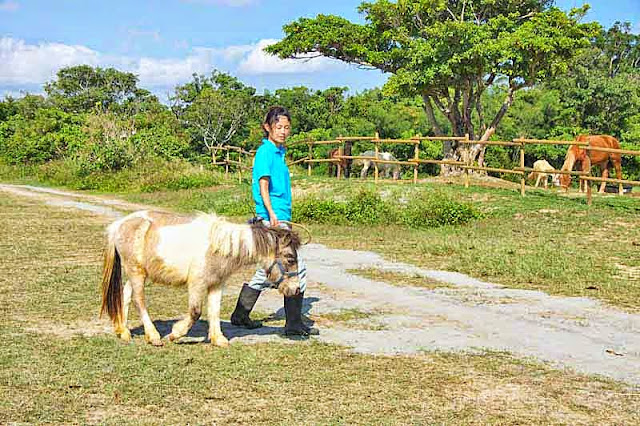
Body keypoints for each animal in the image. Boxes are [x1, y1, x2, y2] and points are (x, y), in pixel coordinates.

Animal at [100, 211, 300, 348]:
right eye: (290, 259)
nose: (296, 289)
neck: (220, 246)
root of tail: (118, 225)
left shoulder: (216, 284)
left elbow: (215, 311)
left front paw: (218, 339)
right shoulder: (197, 283)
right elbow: (196, 312)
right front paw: (175, 334)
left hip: (137, 272)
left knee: (126, 296)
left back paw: (124, 332)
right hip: (136, 272)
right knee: (138, 300)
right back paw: (153, 336)